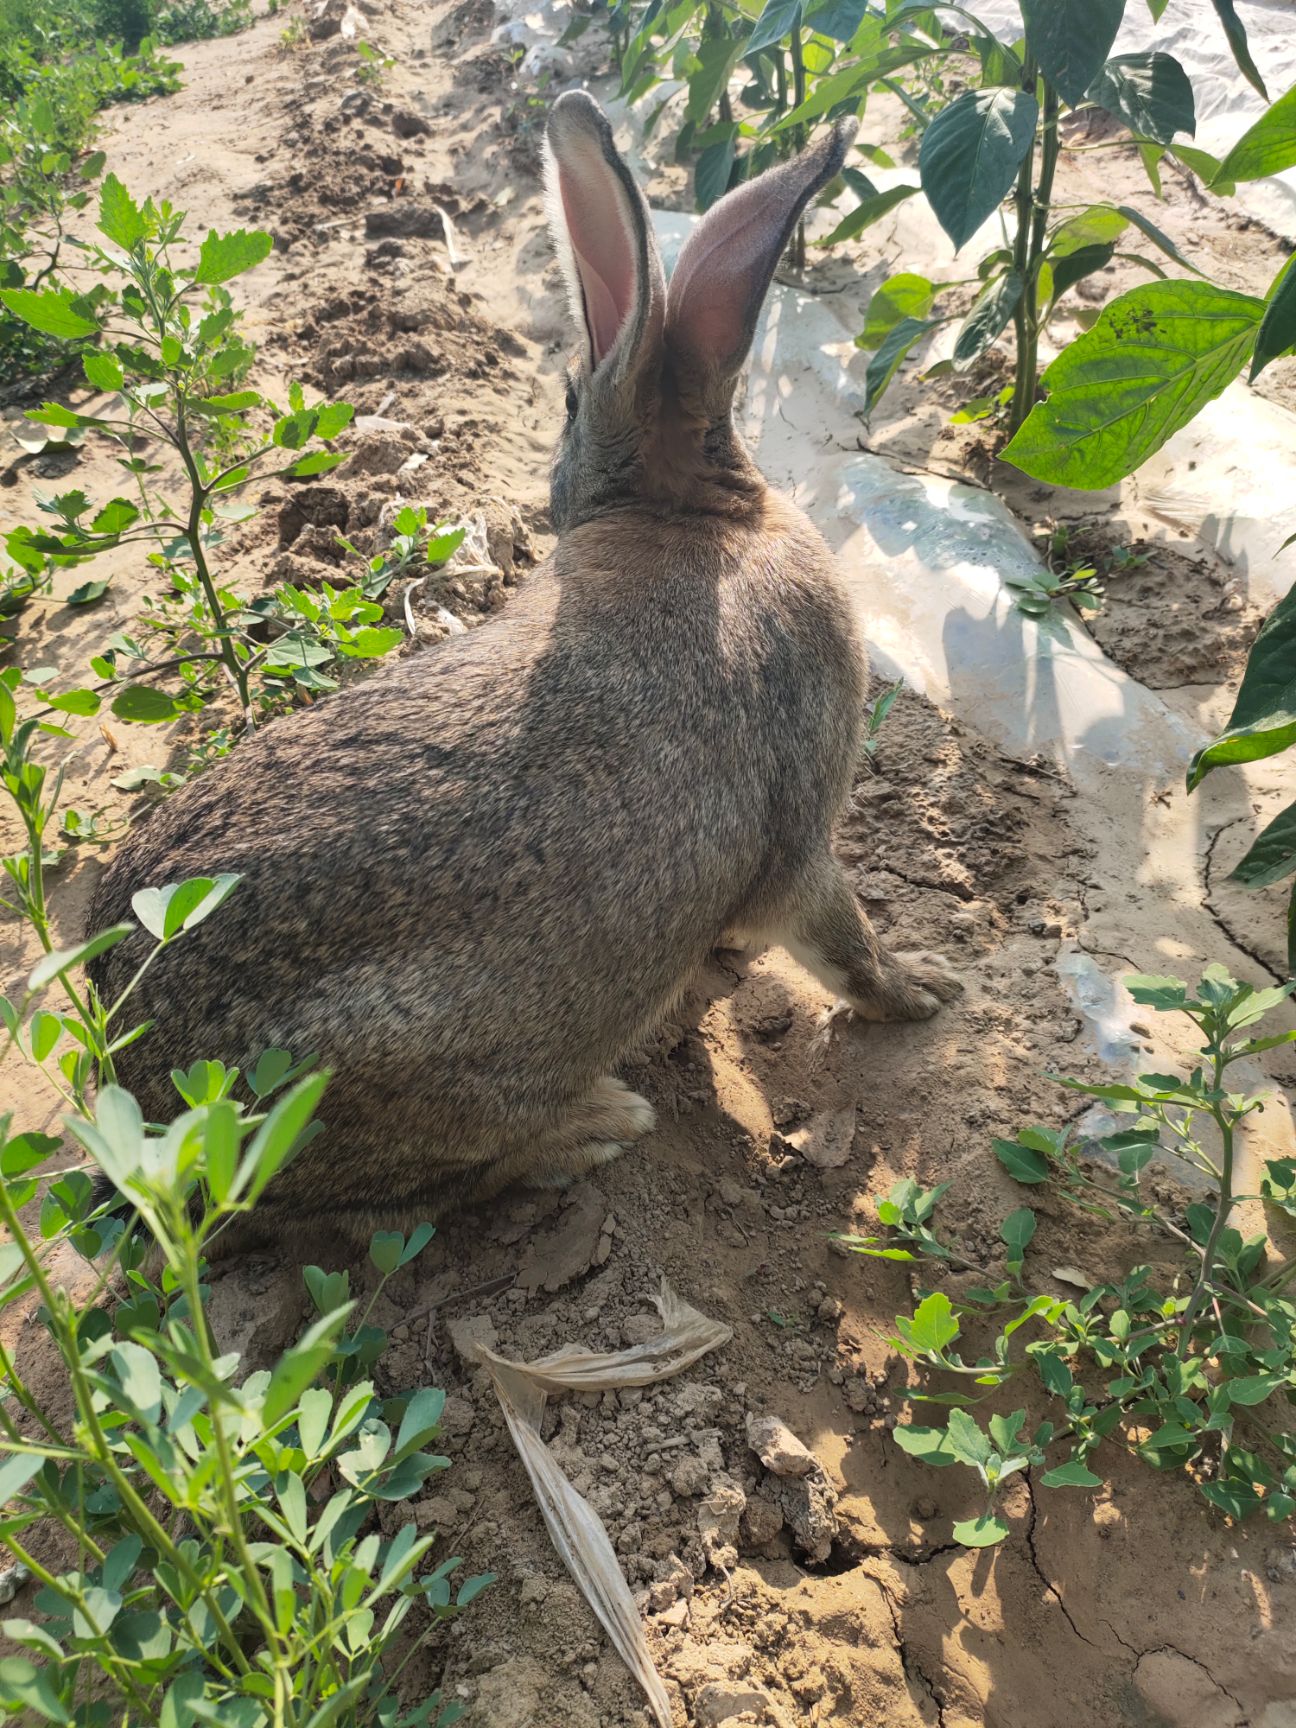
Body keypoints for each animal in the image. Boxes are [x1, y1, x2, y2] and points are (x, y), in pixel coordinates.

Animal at [86, 91, 960, 1257]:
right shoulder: (802, 834)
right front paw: (925, 992)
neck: (694, 516)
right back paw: (598, 1123)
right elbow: (841, 944)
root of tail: (138, 1100)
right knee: (392, 1202)